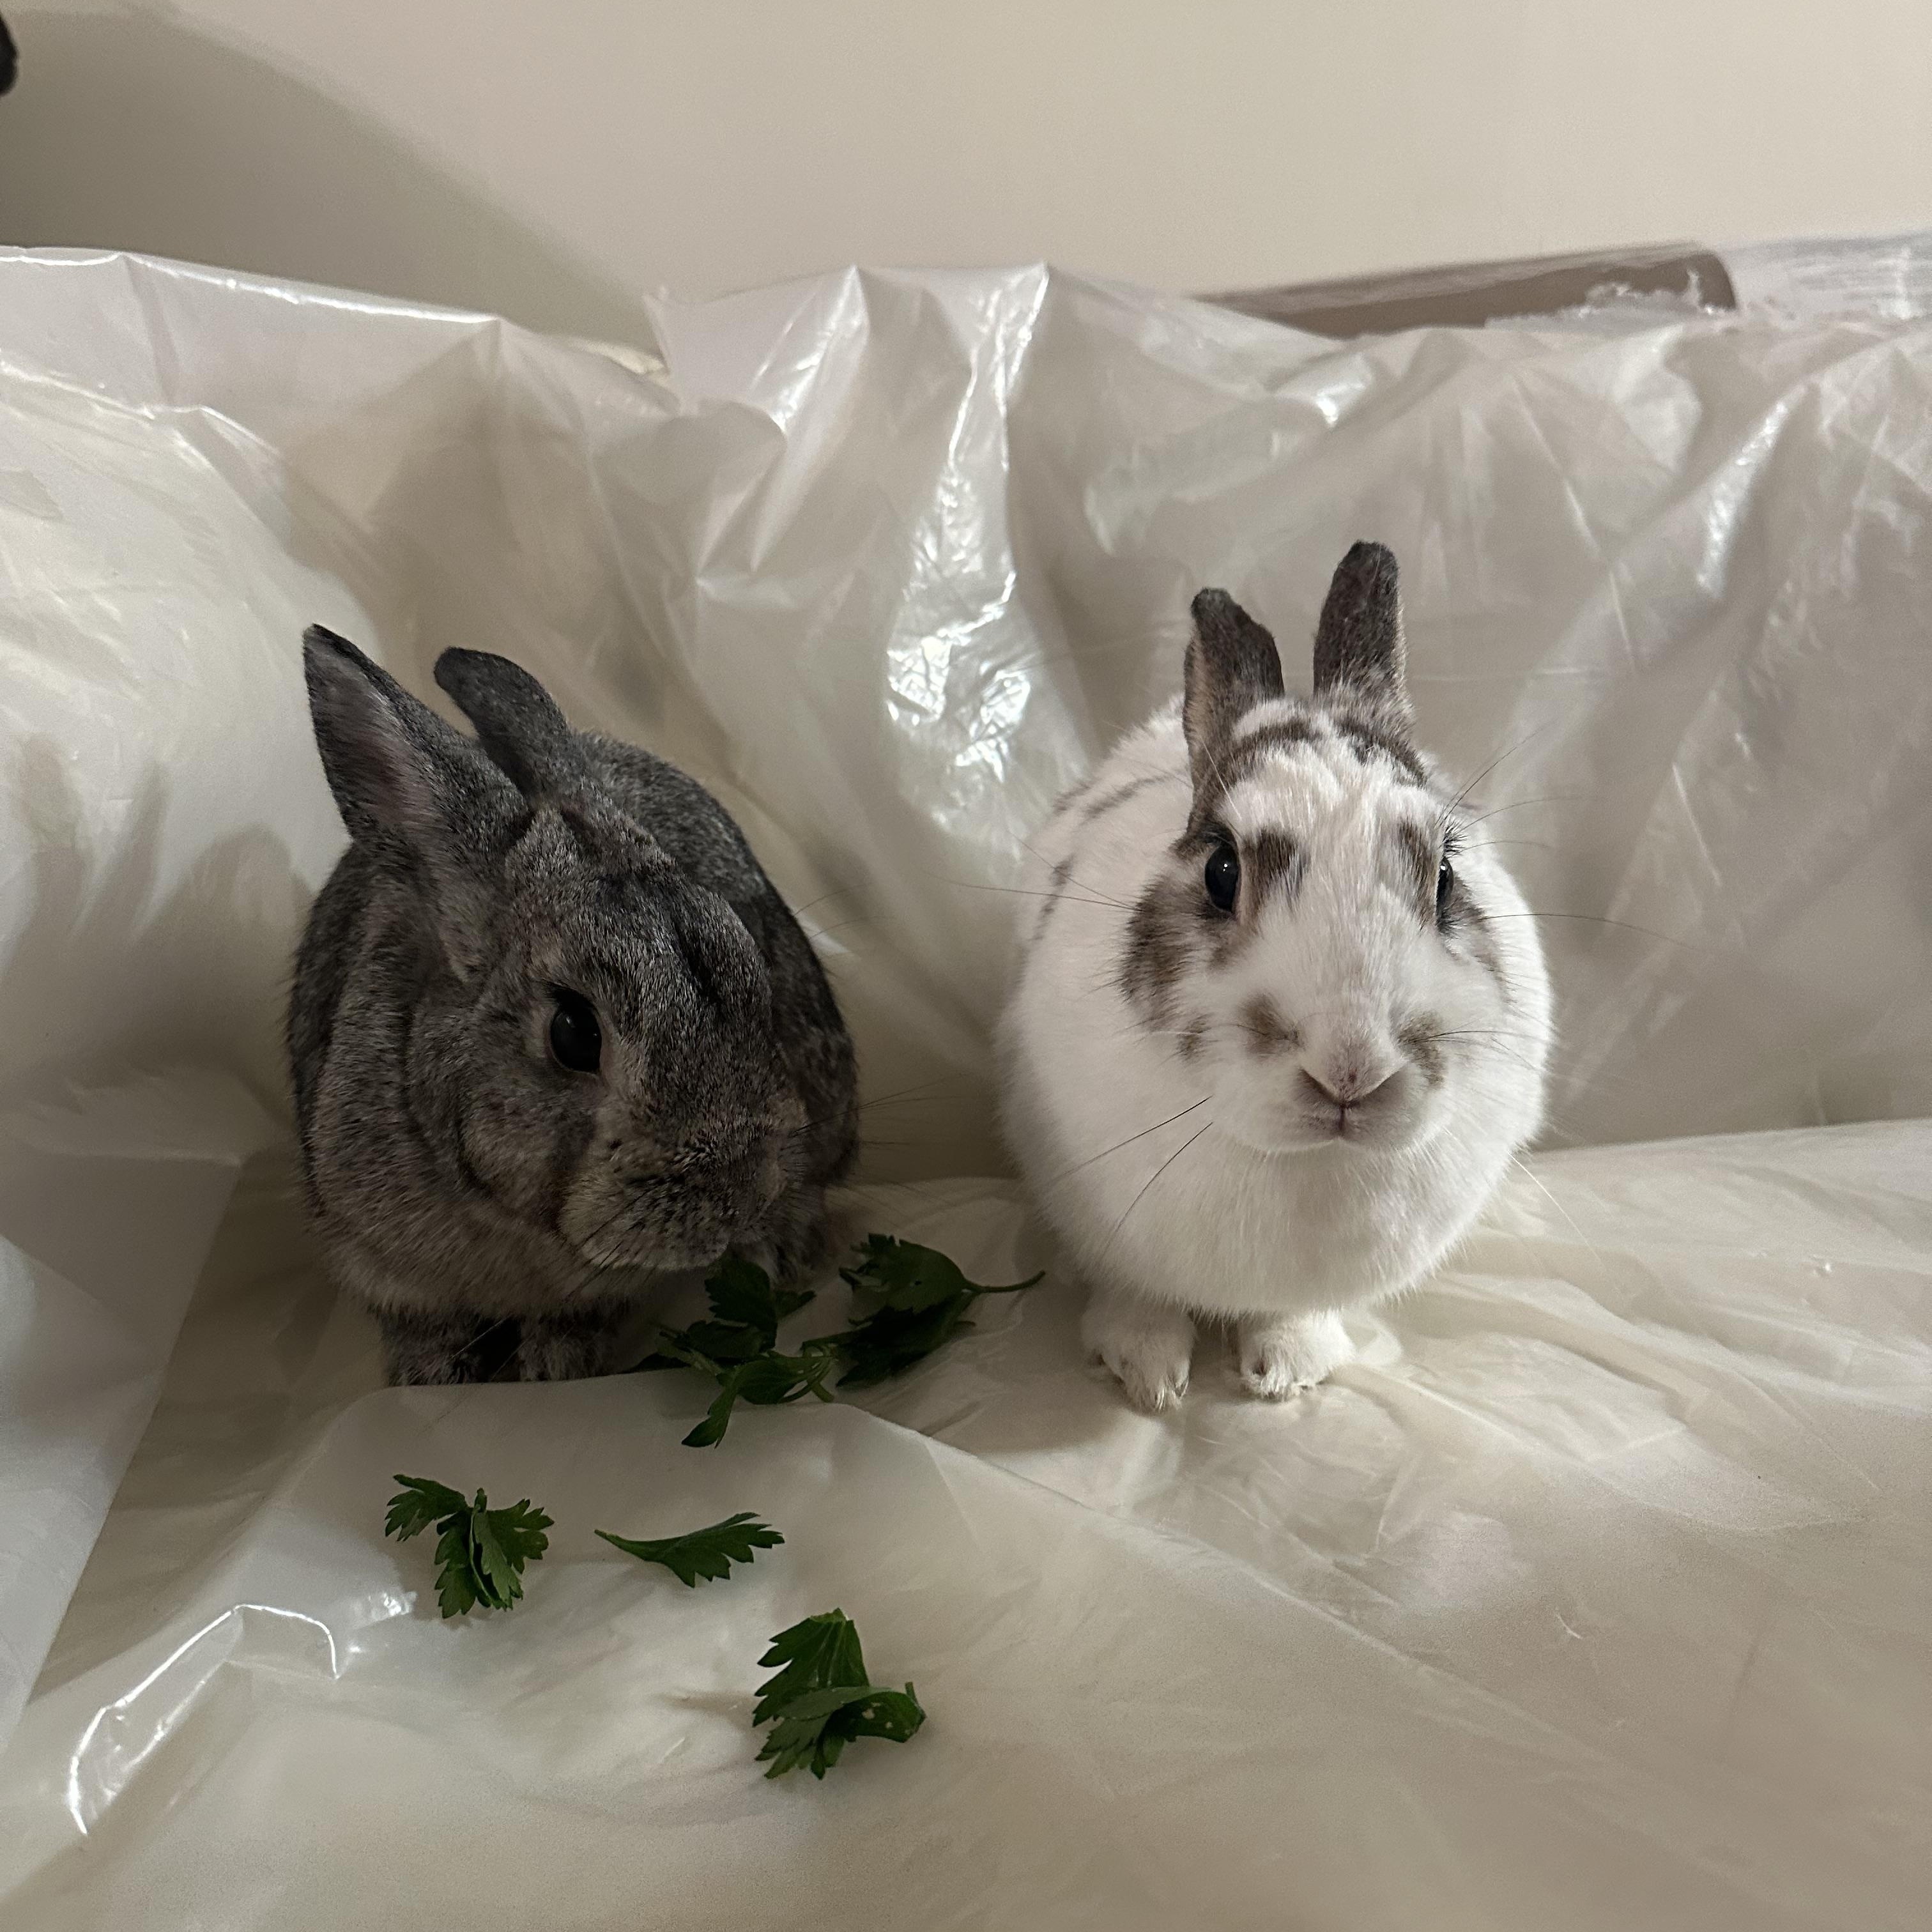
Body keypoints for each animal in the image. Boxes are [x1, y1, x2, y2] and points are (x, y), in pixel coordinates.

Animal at [287, 627, 858, 1385]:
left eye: (751, 969)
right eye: (574, 1034)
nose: (741, 1193)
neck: (508, 1219)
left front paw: (554, 1365)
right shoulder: (379, 1262)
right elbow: (420, 1321)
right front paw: (430, 1374)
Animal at [998, 542, 1552, 1412]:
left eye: (1444, 877)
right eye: (1221, 871)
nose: (1351, 1070)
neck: (1305, 1160)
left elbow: (1291, 1316)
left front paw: (1287, 1371)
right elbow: (1136, 1296)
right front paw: (1147, 1375)